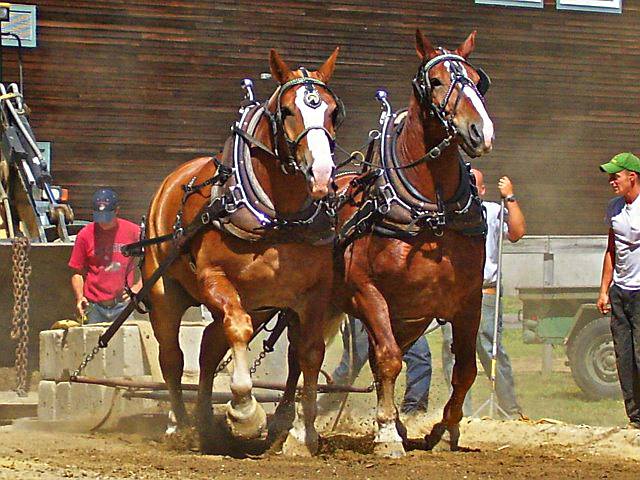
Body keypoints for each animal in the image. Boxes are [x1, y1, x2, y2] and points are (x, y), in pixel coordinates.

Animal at [145, 49, 344, 458]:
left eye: (333, 112)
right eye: (288, 110)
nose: (321, 174)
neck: (278, 216)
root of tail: (171, 182)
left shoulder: (314, 294)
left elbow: (309, 353)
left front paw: (303, 435)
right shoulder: (215, 280)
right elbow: (237, 328)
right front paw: (245, 412)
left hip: (260, 302)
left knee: (208, 347)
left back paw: (205, 423)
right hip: (165, 293)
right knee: (172, 357)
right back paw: (179, 425)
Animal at [336, 31, 496, 458]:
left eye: (478, 80)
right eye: (436, 81)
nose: (481, 132)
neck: (431, 209)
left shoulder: (468, 300)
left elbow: (465, 369)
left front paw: (444, 429)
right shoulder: (367, 292)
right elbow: (389, 359)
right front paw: (387, 435)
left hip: (410, 318)